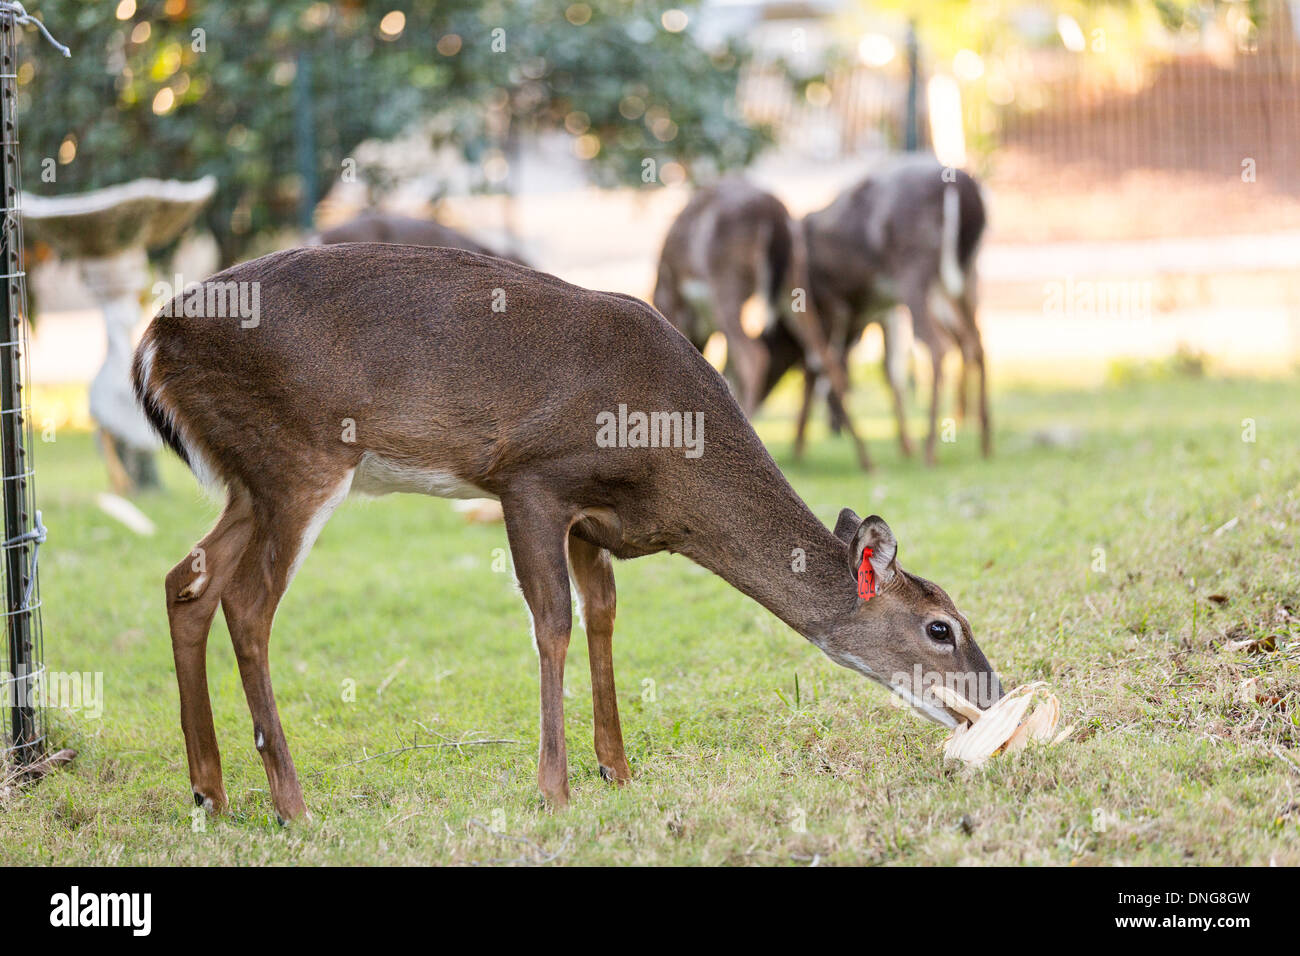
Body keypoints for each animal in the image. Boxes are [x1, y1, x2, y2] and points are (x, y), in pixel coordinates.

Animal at [134, 243, 1003, 816]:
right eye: (941, 627)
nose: (993, 693)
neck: (670, 462)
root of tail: (152, 341)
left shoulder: (593, 519)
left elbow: (604, 616)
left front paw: (617, 769)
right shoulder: (530, 477)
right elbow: (551, 620)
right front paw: (552, 787)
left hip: (249, 477)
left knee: (187, 580)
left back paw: (209, 790)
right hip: (299, 456)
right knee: (248, 603)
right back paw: (290, 800)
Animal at [650, 178, 873, 470]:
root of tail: (775, 215)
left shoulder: (675, 303)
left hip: (727, 279)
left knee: (753, 354)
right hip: (794, 281)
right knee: (826, 358)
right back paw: (867, 461)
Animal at [769, 155, 982, 465]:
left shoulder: (828, 304)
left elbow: (819, 367)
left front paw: (799, 448)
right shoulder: (881, 310)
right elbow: (887, 370)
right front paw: (904, 446)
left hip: (915, 273)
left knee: (939, 345)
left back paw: (931, 450)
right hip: (963, 279)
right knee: (975, 341)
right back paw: (984, 445)